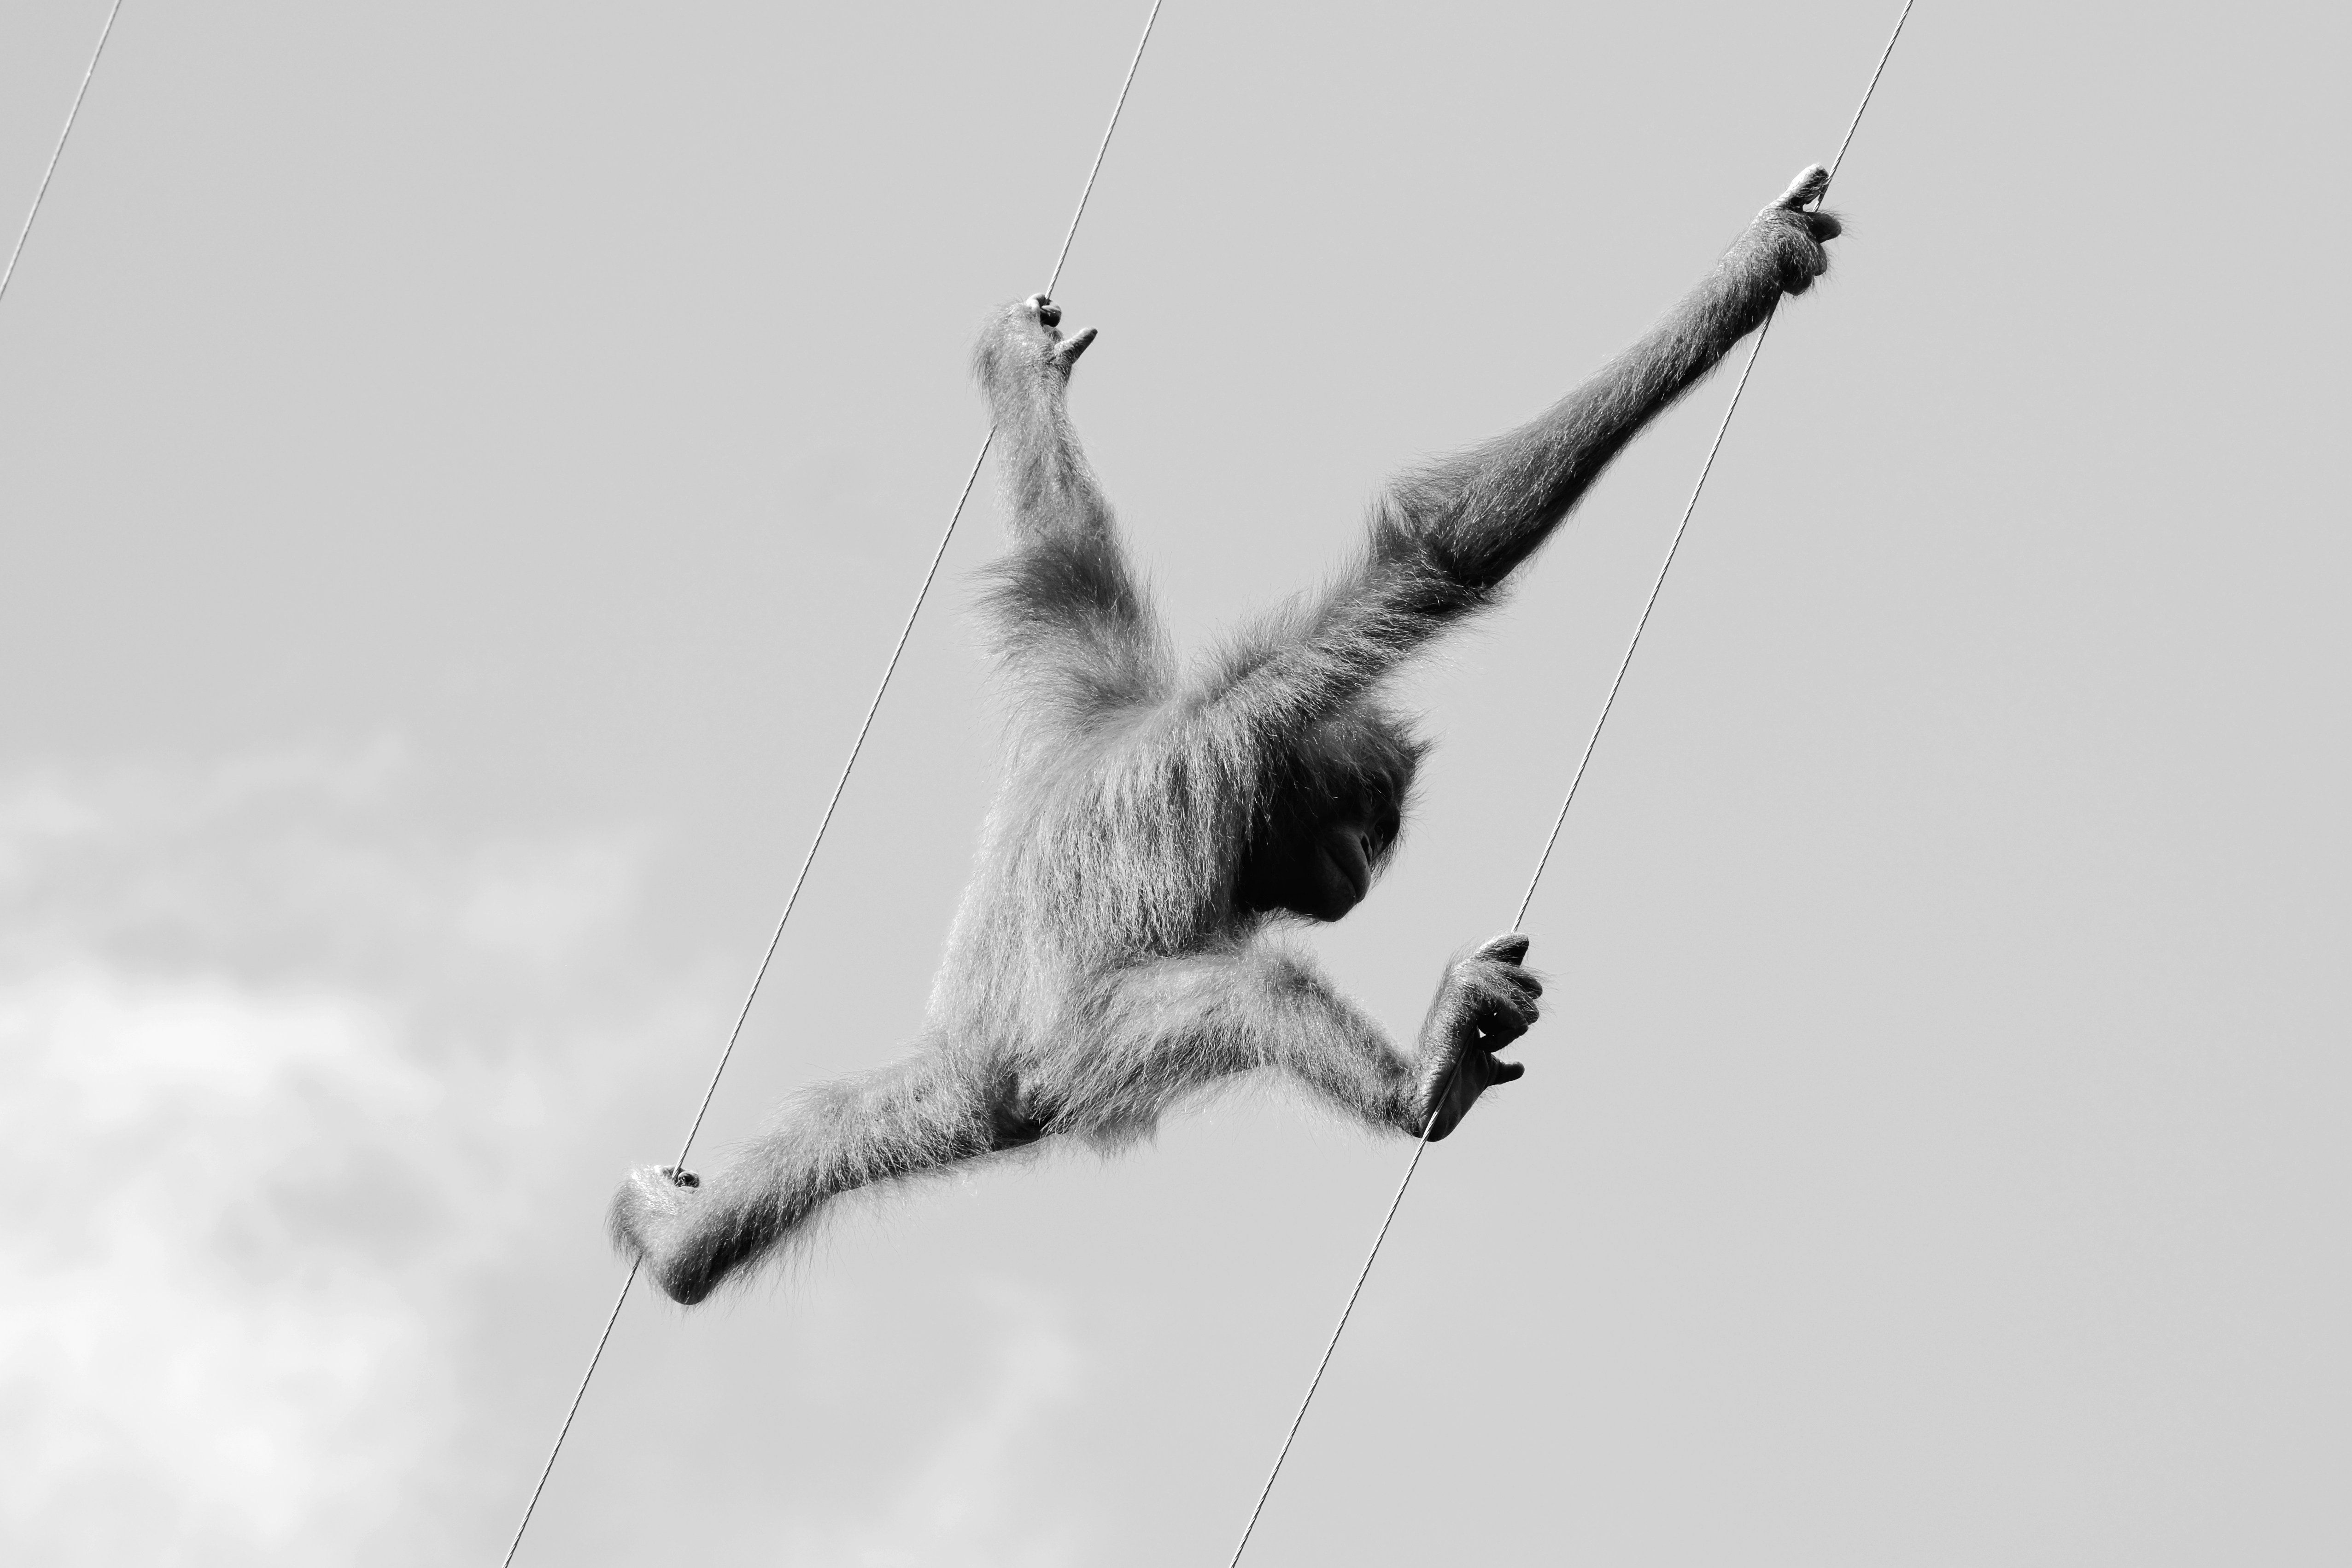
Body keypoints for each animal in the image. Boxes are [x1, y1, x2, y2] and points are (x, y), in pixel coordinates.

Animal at [611, 166, 1843, 1305]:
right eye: (1363, 829)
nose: (1362, 869)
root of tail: (977, 1065)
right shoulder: (1252, 715)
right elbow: (1445, 548)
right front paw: (1750, 272)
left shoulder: (1088, 671)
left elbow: (1060, 537)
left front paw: (1022, 368)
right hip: (1077, 1052)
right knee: (1243, 997)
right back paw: (1419, 1084)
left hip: (969, 1086)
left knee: (844, 1131)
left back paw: (683, 1245)